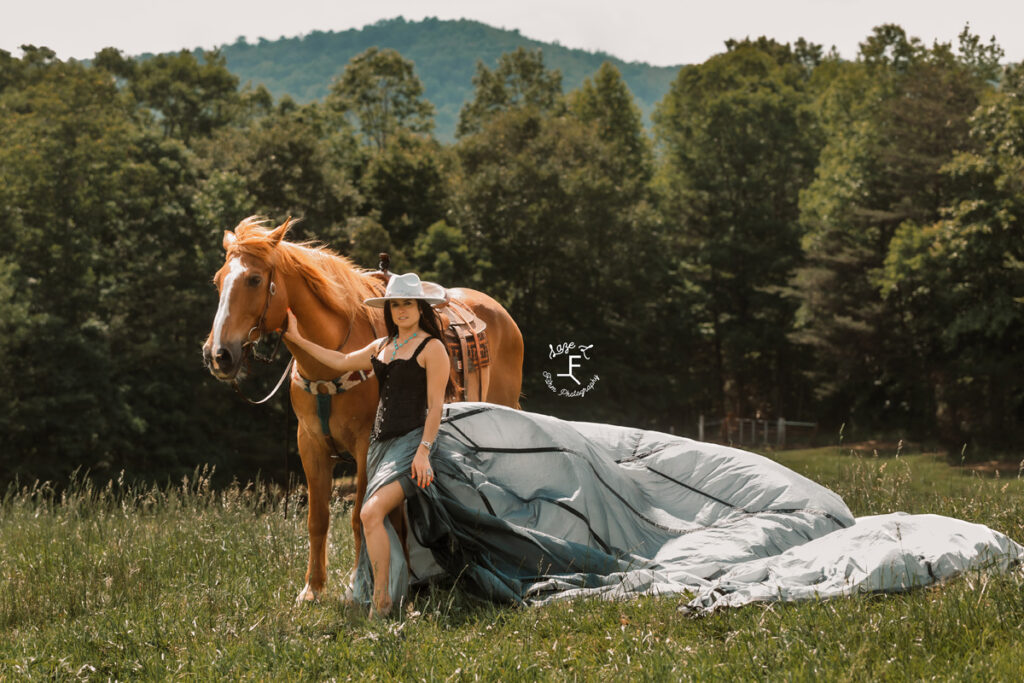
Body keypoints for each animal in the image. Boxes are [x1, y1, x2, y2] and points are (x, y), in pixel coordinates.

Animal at [200, 216, 524, 602]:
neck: (328, 366)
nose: (218, 355)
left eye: (254, 279)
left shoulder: (365, 444)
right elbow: (318, 518)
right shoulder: (310, 445)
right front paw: (312, 589)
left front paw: (356, 585)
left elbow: (357, 516)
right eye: (218, 280)